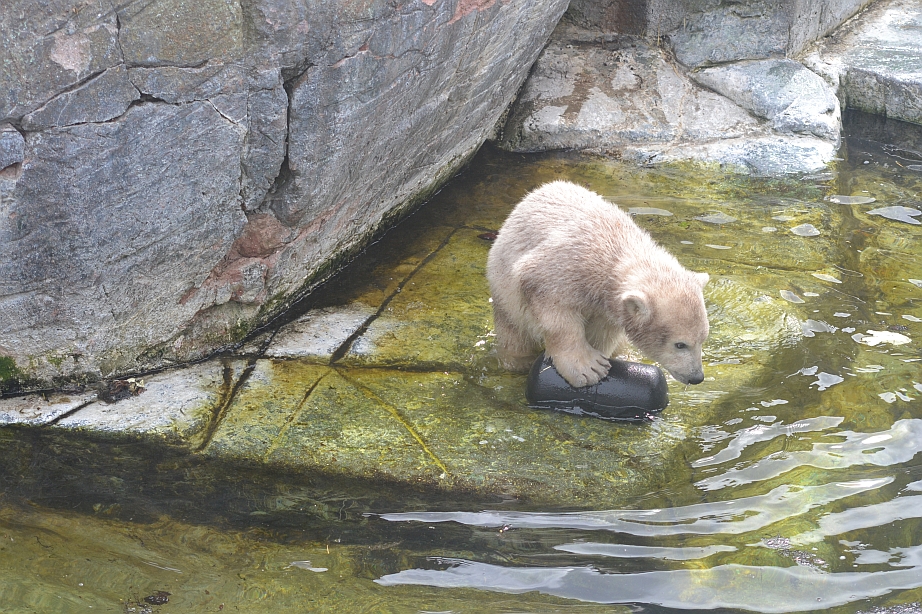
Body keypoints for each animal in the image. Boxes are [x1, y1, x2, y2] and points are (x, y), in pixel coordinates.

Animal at [486, 180, 710, 388]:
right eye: (680, 344)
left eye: (703, 338)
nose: (697, 377)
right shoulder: (560, 269)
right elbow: (555, 314)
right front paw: (587, 368)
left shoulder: (606, 310)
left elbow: (602, 335)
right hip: (505, 296)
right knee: (515, 336)